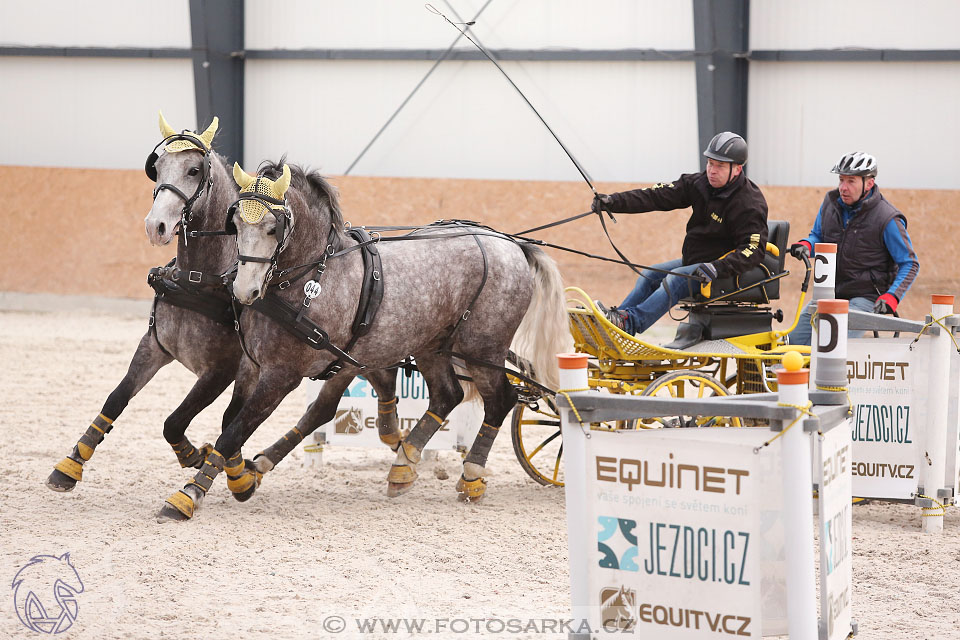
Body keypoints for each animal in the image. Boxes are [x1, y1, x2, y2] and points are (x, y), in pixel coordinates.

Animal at [158, 159, 572, 520]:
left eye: (274, 227)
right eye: (236, 223)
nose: (244, 290)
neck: (310, 279)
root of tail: (510, 244)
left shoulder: (281, 375)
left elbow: (234, 432)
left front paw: (188, 495)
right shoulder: (257, 365)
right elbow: (238, 422)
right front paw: (243, 475)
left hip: (482, 347)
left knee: (500, 400)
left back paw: (471, 475)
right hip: (432, 345)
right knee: (447, 395)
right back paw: (403, 466)